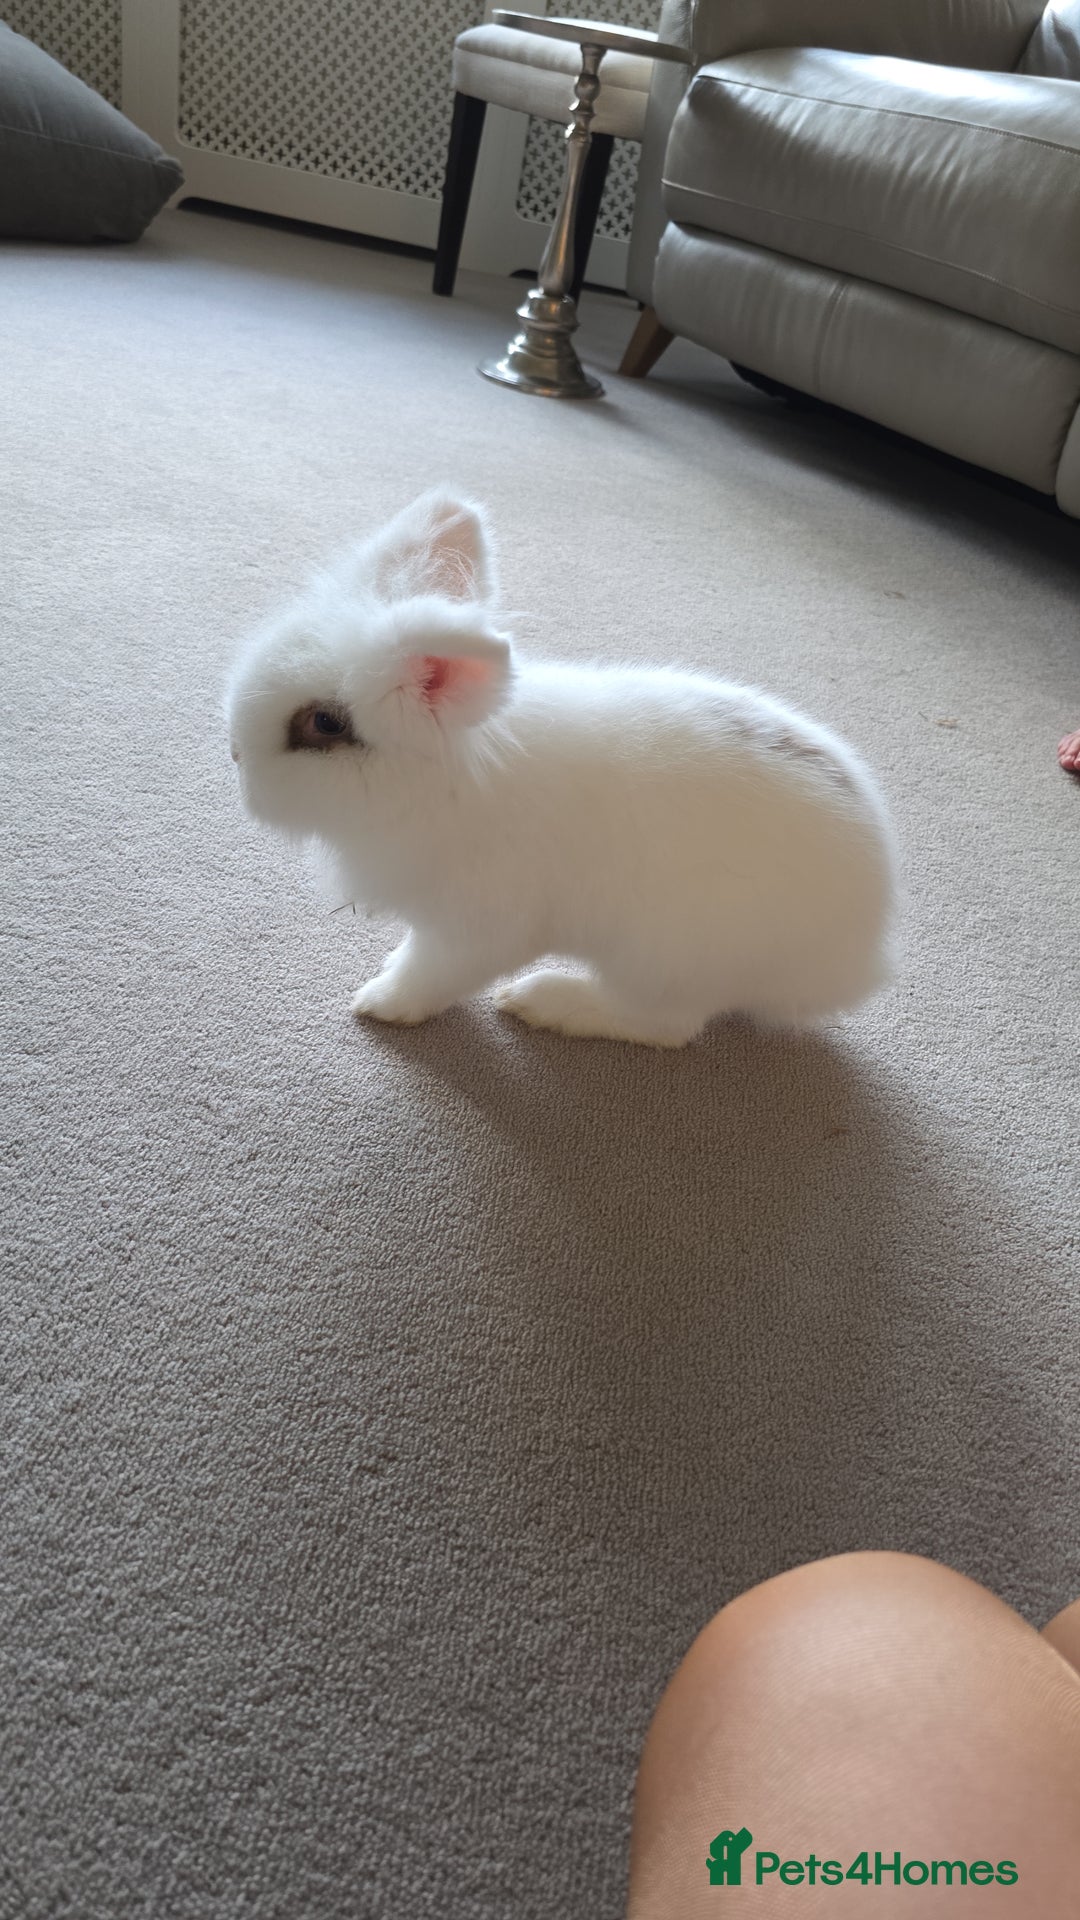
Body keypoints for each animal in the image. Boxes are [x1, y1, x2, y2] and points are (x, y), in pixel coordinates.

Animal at [225, 489, 897, 1047]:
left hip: (664, 956)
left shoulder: (478, 925)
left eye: (323, 725)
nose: (232, 753)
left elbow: (432, 973)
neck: (439, 785)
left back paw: (544, 1001)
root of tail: (862, 958)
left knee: (666, 1026)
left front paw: (380, 1002)